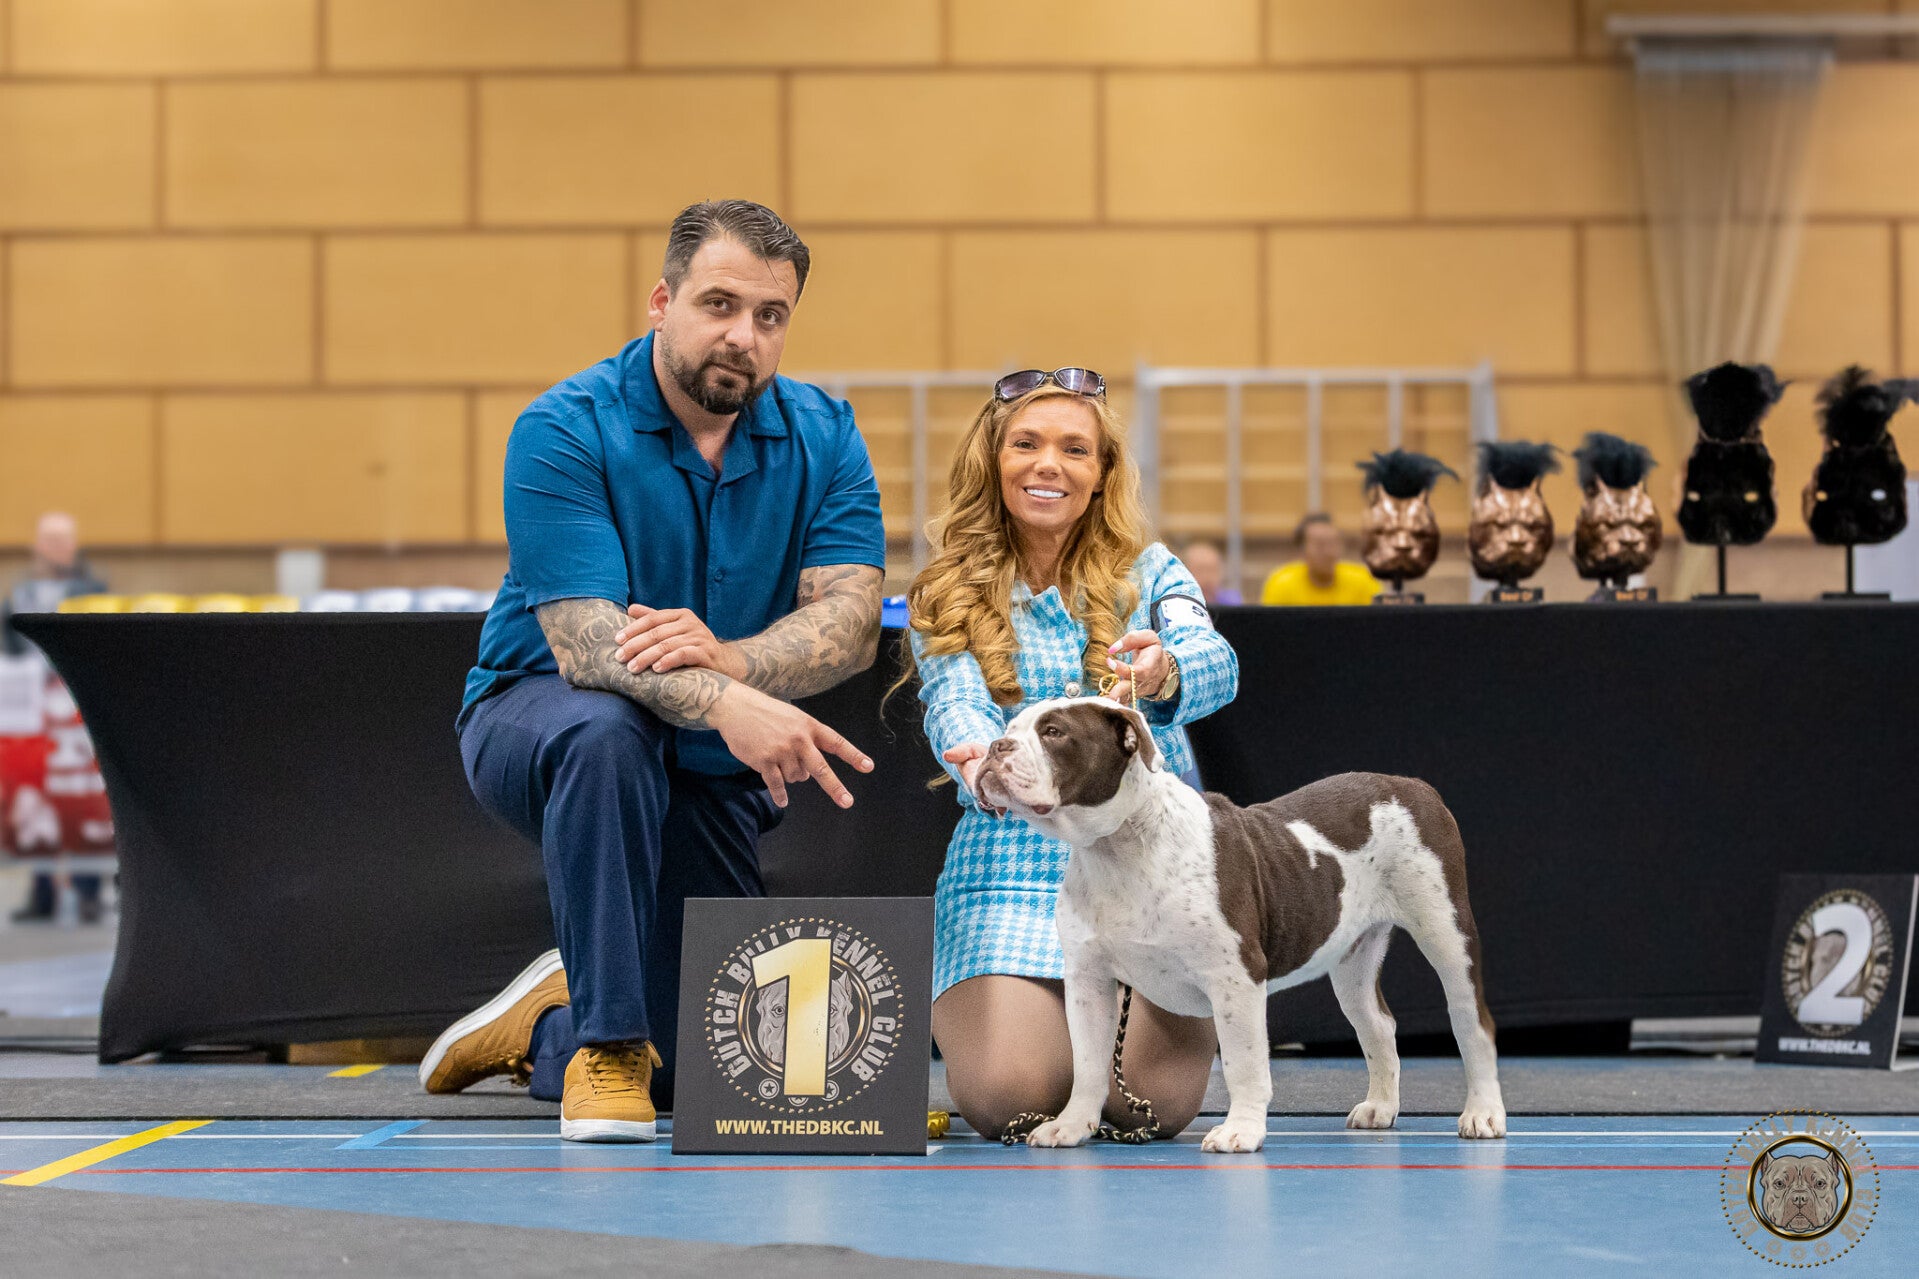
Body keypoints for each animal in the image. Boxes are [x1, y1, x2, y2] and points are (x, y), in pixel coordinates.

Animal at [973, 698, 1506, 1153]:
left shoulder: (1235, 978)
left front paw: (1241, 1132)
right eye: (1009, 729)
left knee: (1471, 1020)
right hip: (1352, 960)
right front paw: (1069, 1126)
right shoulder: (1089, 982)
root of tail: (1411, 785)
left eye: (1054, 732)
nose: (996, 747)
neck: (1116, 845)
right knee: (1377, 1025)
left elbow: (1243, 1062)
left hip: (1446, 929)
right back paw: (1380, 1108)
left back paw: (1482, 1114)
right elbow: (1087, 1061)